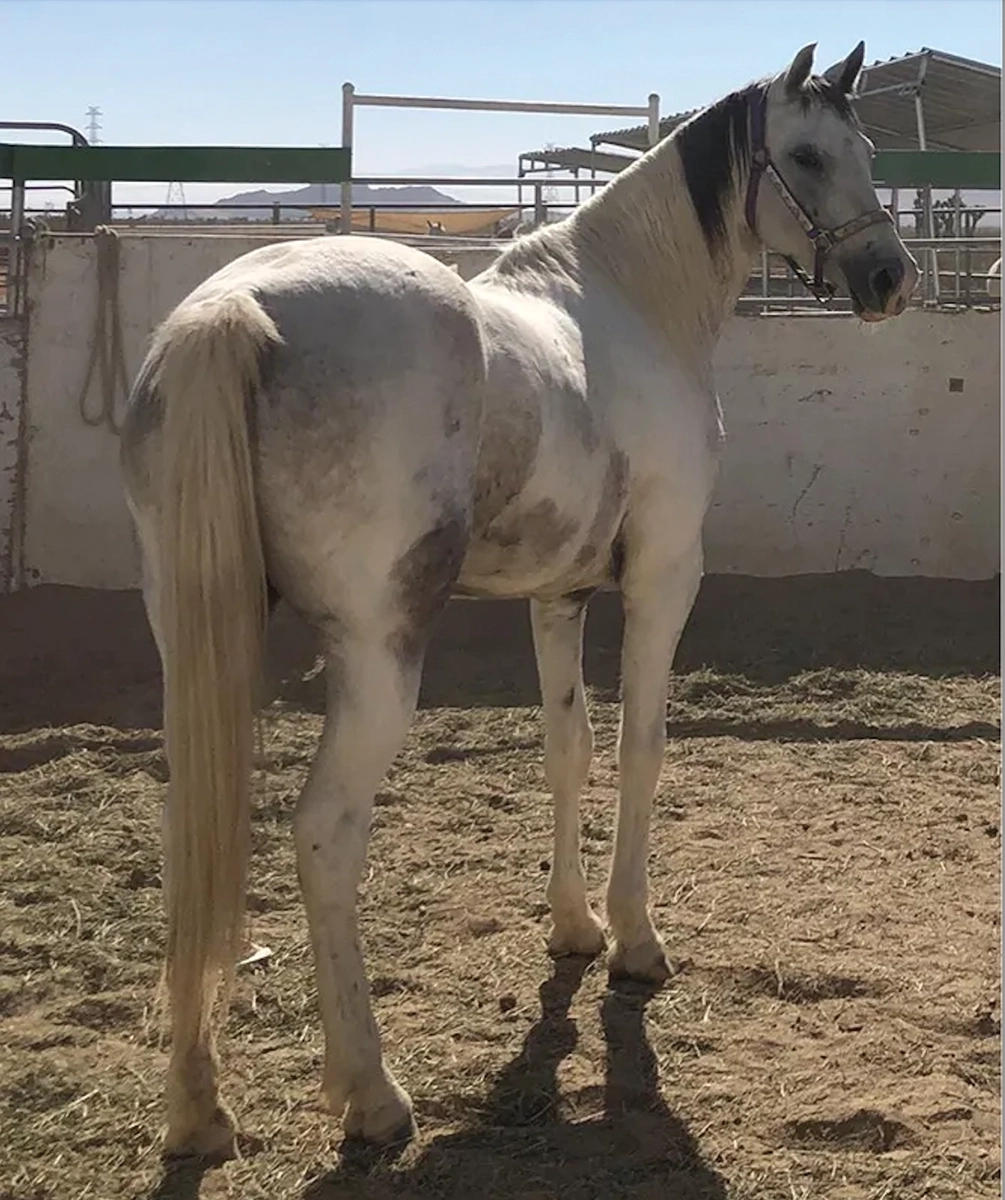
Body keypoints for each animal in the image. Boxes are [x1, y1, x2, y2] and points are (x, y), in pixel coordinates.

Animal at [119, 41, 918, 1158]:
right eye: (805, 155)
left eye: (871, 152)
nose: (889, 277)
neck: (626, 301)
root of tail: (232, 315)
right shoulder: (665, 576)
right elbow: (640, 747)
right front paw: (635, 941)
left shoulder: (560, 595)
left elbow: (567, 748)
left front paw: (574, 929)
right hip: (377, 658)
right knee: (325, 834)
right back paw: (371, 1093)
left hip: (194, 644)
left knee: (193, 830)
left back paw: (199, 1109)